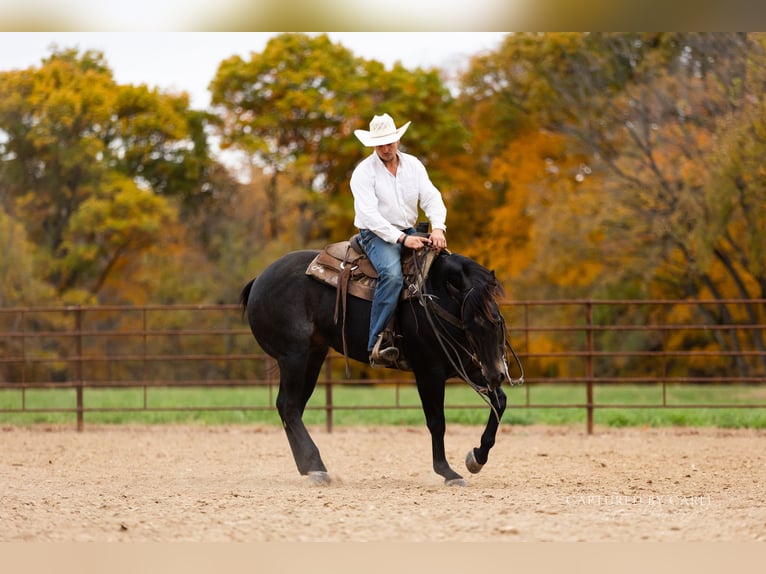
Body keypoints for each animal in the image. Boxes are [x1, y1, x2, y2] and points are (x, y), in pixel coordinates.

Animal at [239, 246, 522, 486]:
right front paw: (447, 472)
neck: (435, 298)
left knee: (291, 407)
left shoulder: (467, 365)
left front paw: (477, 457)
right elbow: (436, 421)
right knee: (288, 406)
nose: (498, 373)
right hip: (294, 357)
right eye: (470, 325)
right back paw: (316, 467)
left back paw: (310, 467)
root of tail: (259, 280)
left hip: (313, 355)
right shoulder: (429, 371)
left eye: (497, 322)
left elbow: (500, 402)